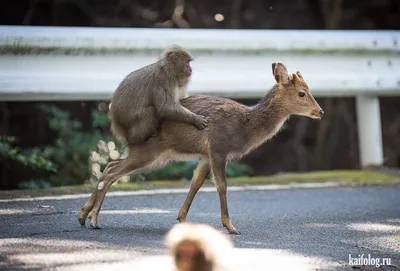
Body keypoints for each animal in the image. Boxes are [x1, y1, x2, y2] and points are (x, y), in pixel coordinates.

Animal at [79, 62, 324, 236]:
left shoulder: (205, 155)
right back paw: (94, 220)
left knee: (110, 165)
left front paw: (182, 219)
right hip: (148, 152)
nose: (320, 112)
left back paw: (83, 216)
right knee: (112, 171)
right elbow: (222, 186)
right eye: (302, 93)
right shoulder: (218, 147)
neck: (244, 127)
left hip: (152, 155)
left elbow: (195, 183)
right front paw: (231, 226)